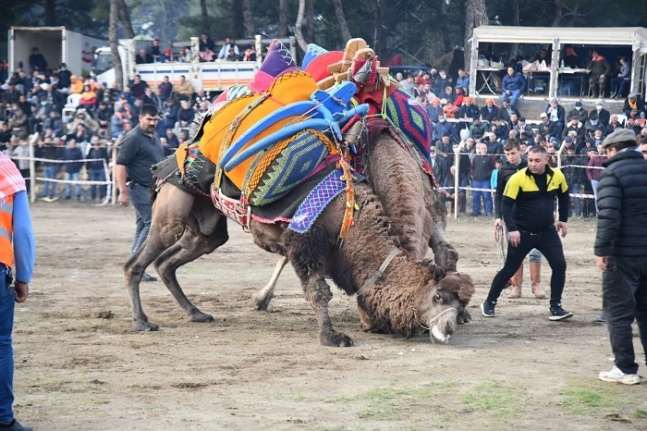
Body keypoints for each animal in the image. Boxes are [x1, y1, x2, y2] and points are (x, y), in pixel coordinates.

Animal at [124, 160, 474, 346]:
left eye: (461, 307)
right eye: (438, 297)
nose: (450, 328)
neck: (351, 216)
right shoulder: (305, 241)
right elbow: (318, 291)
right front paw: (332, 336)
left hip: (206, 227)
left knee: (169, 262)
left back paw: (196, 313)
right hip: (173, 206)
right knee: (138, 261)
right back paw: (141, 322)